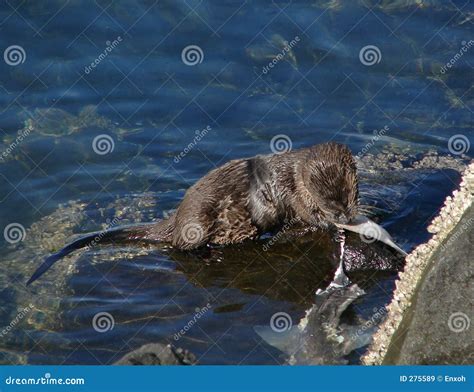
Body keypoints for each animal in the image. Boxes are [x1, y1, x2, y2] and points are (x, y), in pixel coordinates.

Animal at [26, 143, 404, 284]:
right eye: (328, 198)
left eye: (350, 194)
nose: (346, 215)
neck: (295, 179)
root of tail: (176, 217)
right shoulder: (291, 195)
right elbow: (304, 217)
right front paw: (330, 224)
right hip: (198, 223)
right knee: (183, 246)